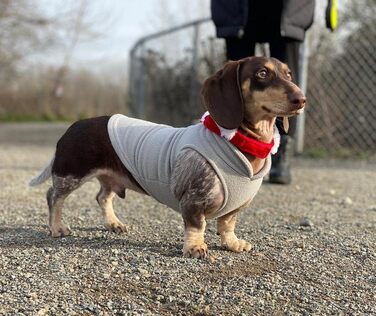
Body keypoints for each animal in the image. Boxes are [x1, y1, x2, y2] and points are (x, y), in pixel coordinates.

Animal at [29, 56, 306, 260]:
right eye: (262, 73)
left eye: (289, 74)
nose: (301, 99)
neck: (239, 143)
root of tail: (74, 125)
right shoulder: (193, 200)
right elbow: (196, 226)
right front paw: (195, 248)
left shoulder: (235, 208)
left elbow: (227, 224)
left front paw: (232, 243)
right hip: (71, 173)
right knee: (53, 196)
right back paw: (57, 227)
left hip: (109, 176)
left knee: (102, 197)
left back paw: (113, 223)